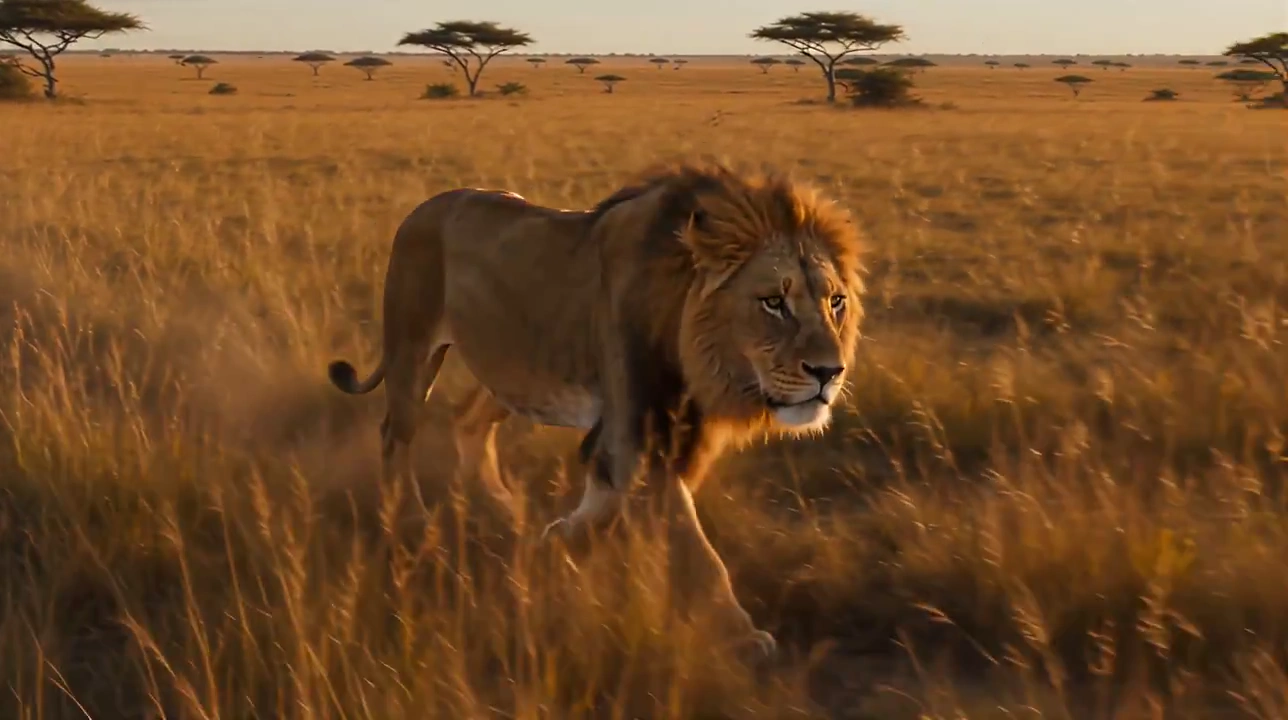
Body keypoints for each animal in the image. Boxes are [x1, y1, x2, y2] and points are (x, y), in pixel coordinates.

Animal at [327, 161, 867, 659]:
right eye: (774, 302)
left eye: (836, 302)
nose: (829, 372)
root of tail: (423, 208)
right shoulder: (640, 434)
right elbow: (695, 549)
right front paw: (742, 636)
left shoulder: (660, 433)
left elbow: (606, 503)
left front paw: (554, 543)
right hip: (413, 349)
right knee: (394, 432)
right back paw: (410, 521)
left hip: (512, 369)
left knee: (466, 417)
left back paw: (504, 508)